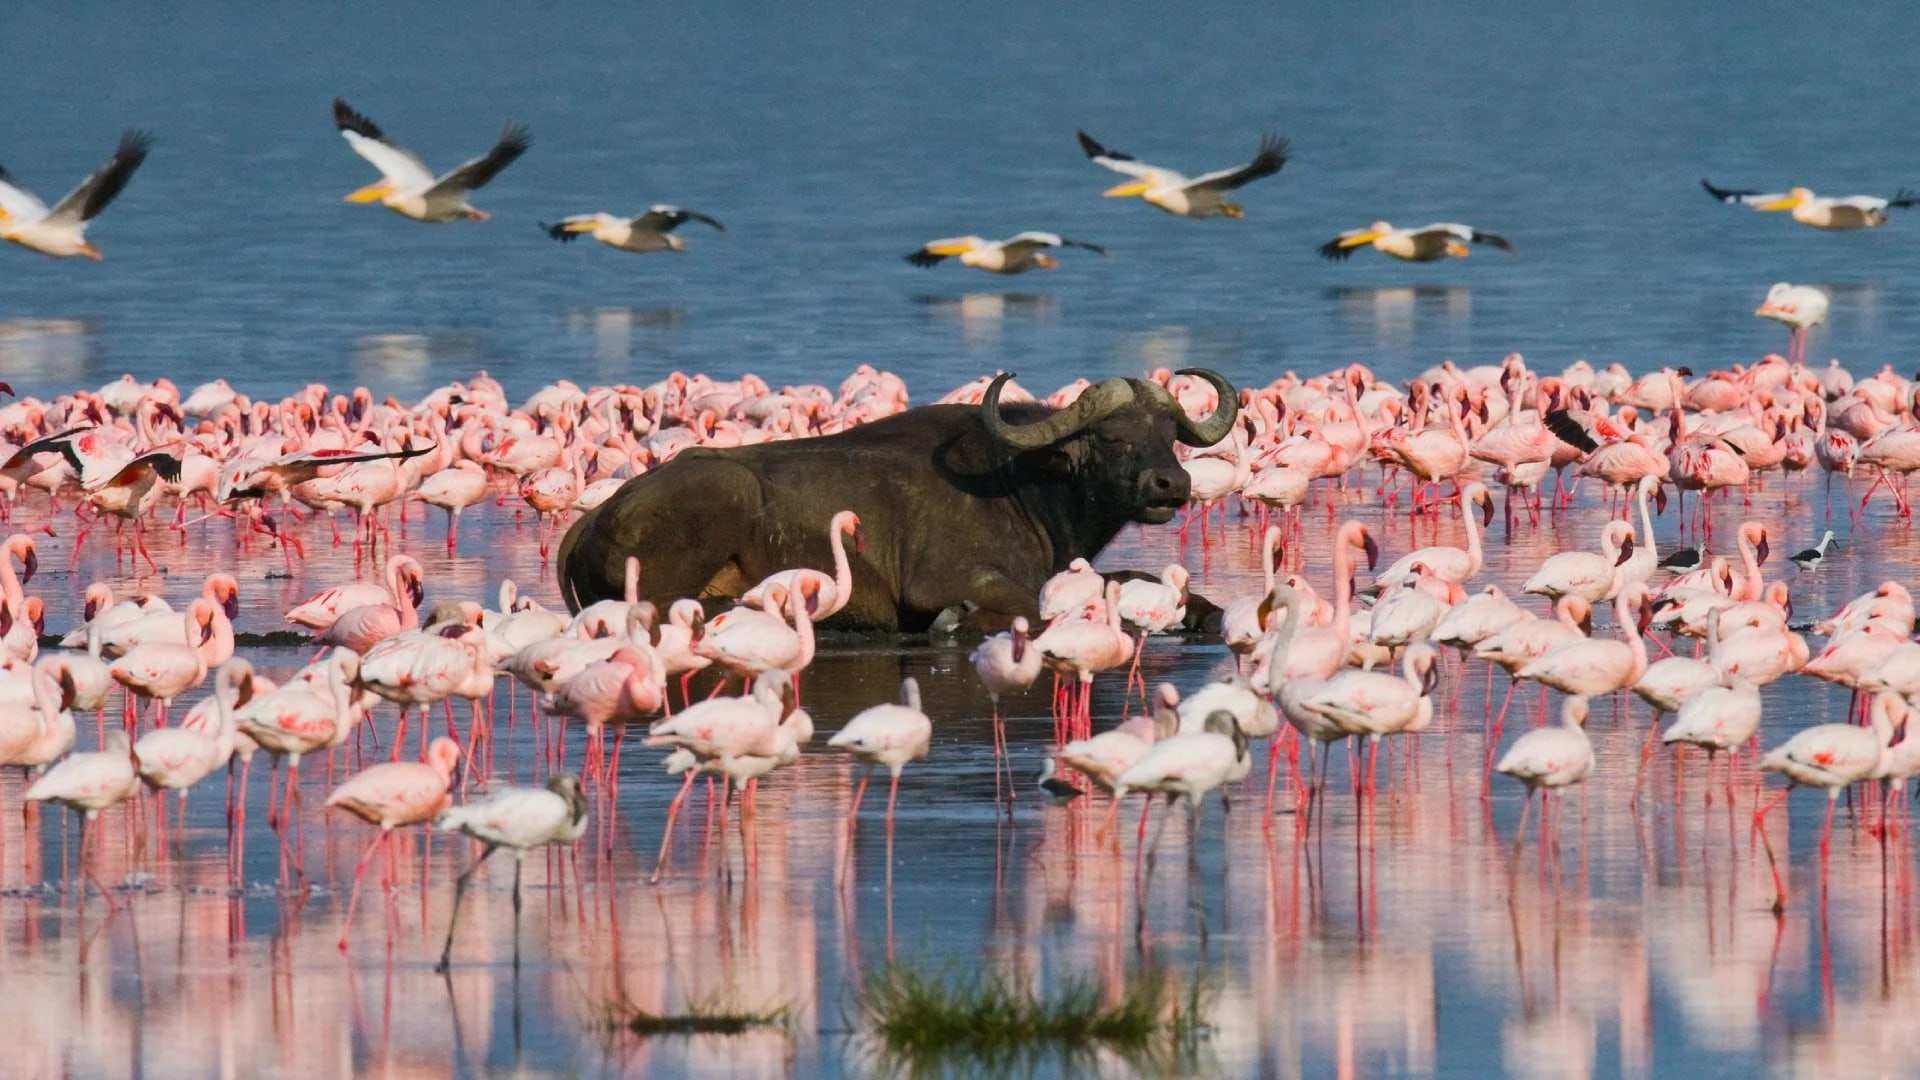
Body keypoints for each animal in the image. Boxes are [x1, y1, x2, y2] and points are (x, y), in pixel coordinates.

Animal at [556, 369, 1238, 631]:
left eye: (1168, 434)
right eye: (1113, 437)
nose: (1171, 486)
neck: (1024, 486)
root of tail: (593, 520)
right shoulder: (946, 582)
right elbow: (1039, 607)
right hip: (722, 497)